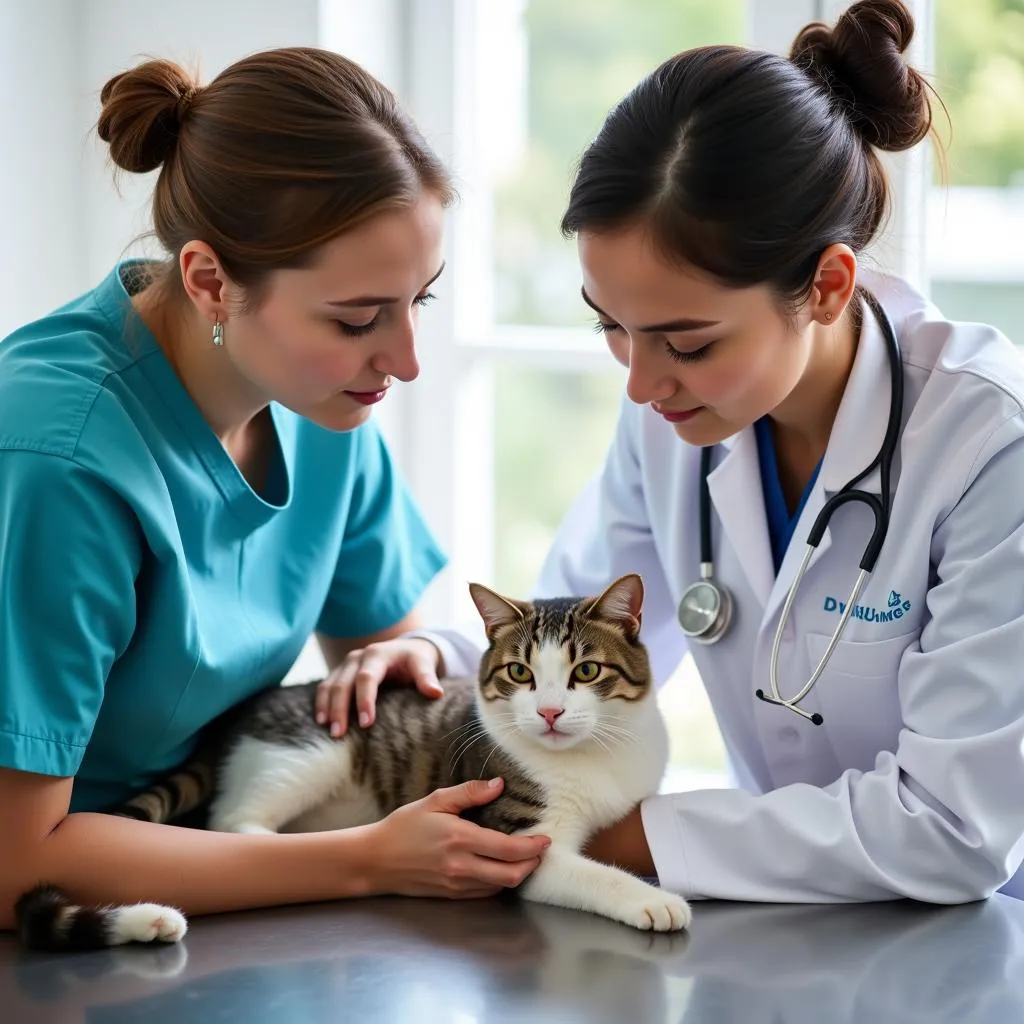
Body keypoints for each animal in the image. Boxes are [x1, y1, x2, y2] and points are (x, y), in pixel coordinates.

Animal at [16, 577, 692, 950]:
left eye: (587, 671)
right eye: (520, 674)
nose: (549, 712)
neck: (594, 754)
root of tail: (244, 713)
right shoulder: (514, 839)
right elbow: (589, 873)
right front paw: (651, 900)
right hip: (314, 751)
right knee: (232, 821)